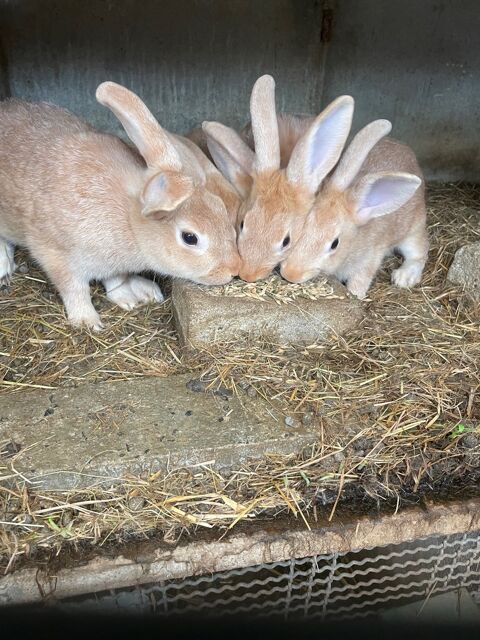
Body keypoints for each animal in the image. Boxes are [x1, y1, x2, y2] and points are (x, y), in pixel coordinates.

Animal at [0, 82, 240, 330]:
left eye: (219, 206)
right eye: (190, 237)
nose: (234, 269)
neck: (129, 218)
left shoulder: (109, 264)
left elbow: (116, 279)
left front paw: (128, 297)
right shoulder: (55, 254)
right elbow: (74, 289)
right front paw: (87, 321)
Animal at [280, 118, 428, 299]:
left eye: (334, 244)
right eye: (300, 228)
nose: (290, 274)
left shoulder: (368, 260)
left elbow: (360, 280)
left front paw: (355, 295)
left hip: (414, 228)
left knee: (419, 251)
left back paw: (403, 277)